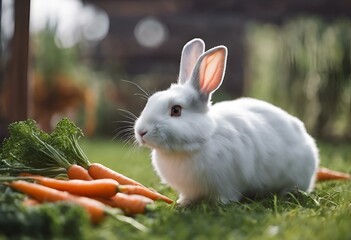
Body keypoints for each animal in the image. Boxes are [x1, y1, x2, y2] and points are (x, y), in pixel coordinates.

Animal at [134, 38, 320, 205]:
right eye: (151, 100)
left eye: (176, 110)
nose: (141, 132)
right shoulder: (190, 190)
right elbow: (188, 197)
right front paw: (183, 203)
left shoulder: (226, 184)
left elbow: (225, 196)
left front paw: (220, 204)